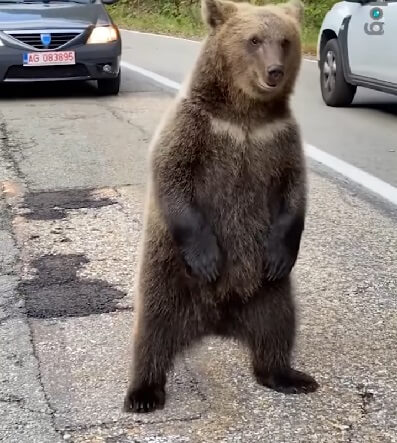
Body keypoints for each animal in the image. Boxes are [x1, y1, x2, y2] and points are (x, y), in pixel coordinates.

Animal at [124, 0, 318, 414]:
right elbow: (172, 173)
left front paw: (281, 252)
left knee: (277, 326)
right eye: (254, 40)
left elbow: (295, 191)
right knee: (154, 330)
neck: (245, 115)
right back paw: (144, 393)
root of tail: (217, 320)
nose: (274, 71)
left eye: (285, 41)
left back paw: (288, 376)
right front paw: (208, 259)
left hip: (268, 290)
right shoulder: (197, 128)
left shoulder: (279, 139)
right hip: (168, 272)